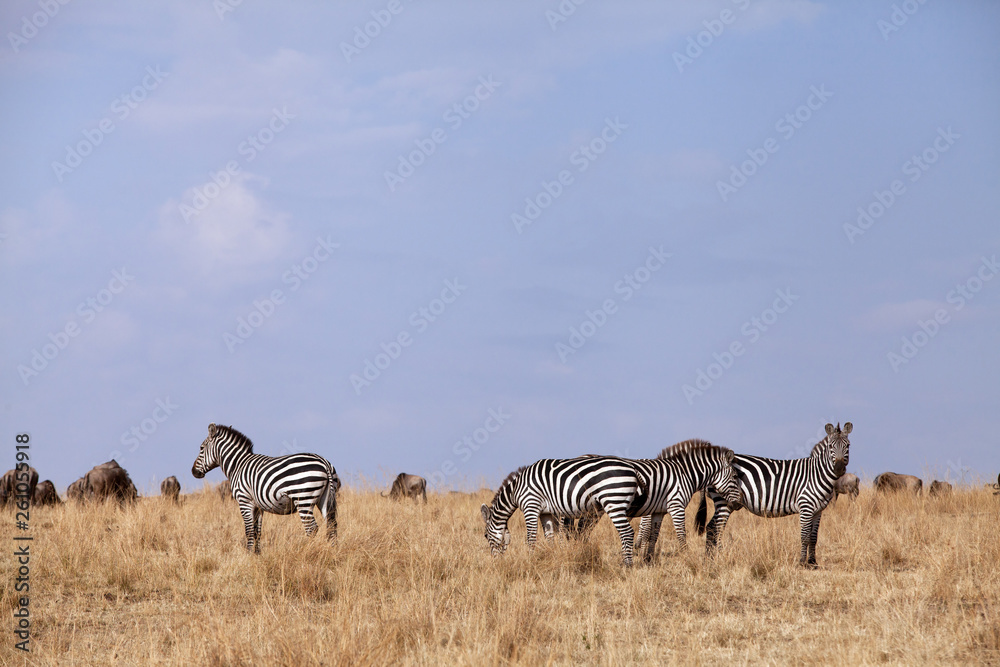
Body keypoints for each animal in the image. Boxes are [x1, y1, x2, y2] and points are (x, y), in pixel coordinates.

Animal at [191, 423, 341, 553]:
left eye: (201, 448)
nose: (193, 472)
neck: (238, 465)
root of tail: (324, 463)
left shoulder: (244, 501)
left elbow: (249, 531)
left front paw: (248, 555)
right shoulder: (258, 506)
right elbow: (257, 531)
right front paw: (257, 555)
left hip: (304, 499)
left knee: (311, 528)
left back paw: (307, 552)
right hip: (324, 499)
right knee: (331, 525)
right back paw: (332, 552)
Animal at [480, 456, 646, 565]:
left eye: (486, 535)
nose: (495, 562)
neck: (515, 490)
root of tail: (633, 469)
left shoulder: (531, 505)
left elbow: (531, 538)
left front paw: (529, 560)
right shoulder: (545, 512)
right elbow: (549, 537)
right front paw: (550, 555)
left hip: (613, 500)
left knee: (626, 532)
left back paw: (627, 564)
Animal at [691, 422, 852, 568]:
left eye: (848, 446)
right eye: (830, 446)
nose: (839, 469)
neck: (817, 474)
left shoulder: (818, 510)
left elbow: (813, 537)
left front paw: (813, 563)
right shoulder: (806, 506)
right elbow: (805, 536)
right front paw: (802, 563)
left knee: (711, 528)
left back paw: (709, 560)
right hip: (723, 501)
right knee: (716, 529)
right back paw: (718, 559)